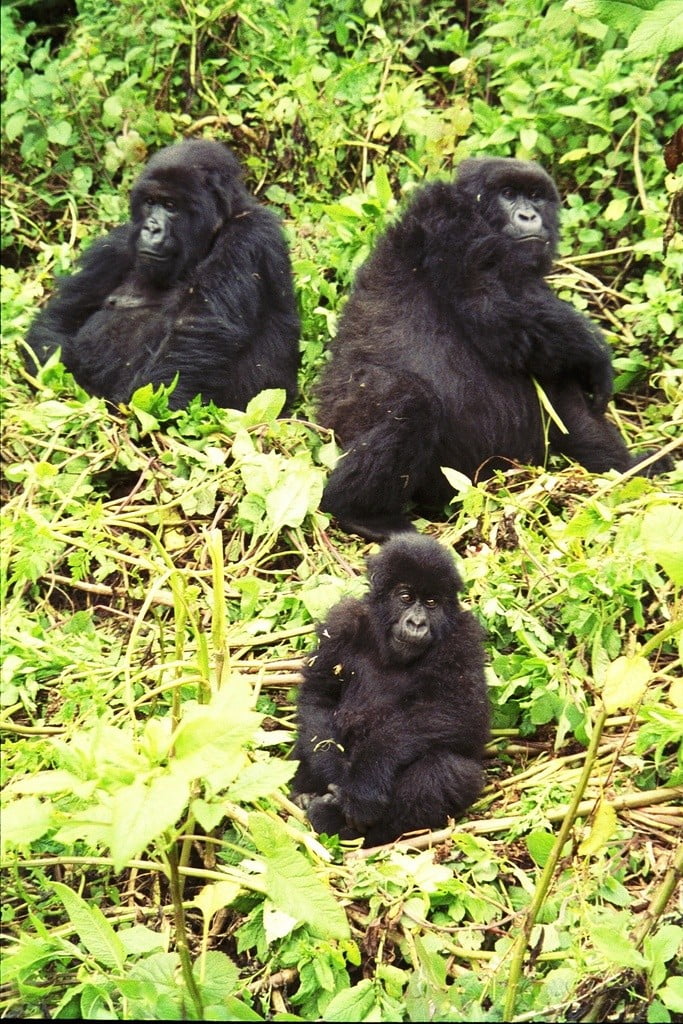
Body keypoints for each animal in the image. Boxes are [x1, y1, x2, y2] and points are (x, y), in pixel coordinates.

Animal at [27, 138, 299, 409]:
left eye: (170, 206)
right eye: (150, 202)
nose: (151, 228)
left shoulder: (249, 236)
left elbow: (196, 329)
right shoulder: (116, 247)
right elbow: (59, 319)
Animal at [290, 536, 489, 847]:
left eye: (431, 602)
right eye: (405, 597)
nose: (417, 623)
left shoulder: (463, 637)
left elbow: (461, 712)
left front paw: (363, 787)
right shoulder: (340, 623)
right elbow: (318, 698)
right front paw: (335, 775)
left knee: (446, 770)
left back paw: (341, 823)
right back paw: (307, 798)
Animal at [317, 157, 671, 544]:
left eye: (535, 196)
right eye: (508, 194)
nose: (529, 215)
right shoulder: (449, 221)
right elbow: (495, 311)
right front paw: (596, 356)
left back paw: (629, 470)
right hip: (343, 419)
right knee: (410, 403)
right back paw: (359, 513)